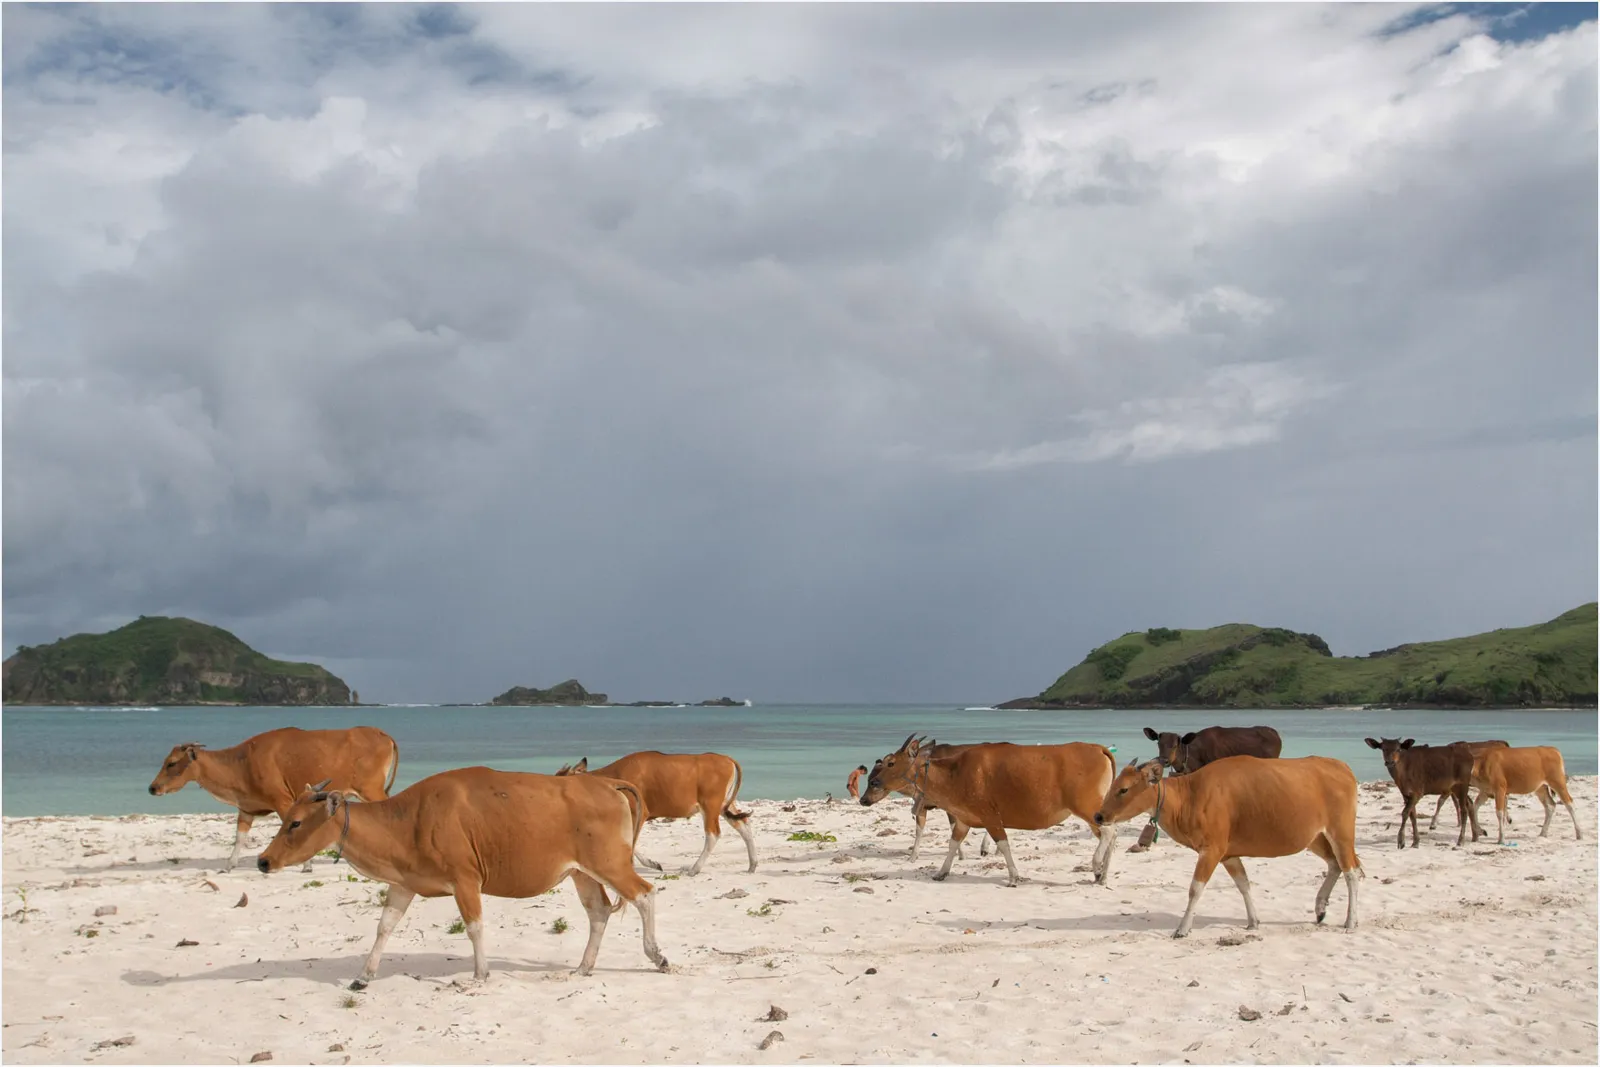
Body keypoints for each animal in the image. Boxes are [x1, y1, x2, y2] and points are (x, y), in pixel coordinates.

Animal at [148, 726, 399, 870]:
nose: (152, 788)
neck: (241, 763)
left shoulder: (283, 801)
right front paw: (229, 865)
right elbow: (239, 838)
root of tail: (383, 734)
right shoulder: (246, 809)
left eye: (171, 763)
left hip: (370, 789)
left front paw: (306, 866)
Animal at [256, 767, 669, 989]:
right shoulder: (403, 885)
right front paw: (363, 976)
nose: (263, 861)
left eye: (295, 823)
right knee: (598, 912)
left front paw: (479, 974)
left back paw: (658, 956)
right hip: (581, 873)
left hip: (610, 864)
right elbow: (384, 927)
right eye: (283, 818)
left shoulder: (466, 881)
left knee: (646, 893)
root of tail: (607, 782)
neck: (410, 821)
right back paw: (584, 966)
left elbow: (474, 927)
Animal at [556, 751, 756, 876]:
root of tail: (727, 759)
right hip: (724, 806)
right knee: (744, 824)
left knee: (713, 834)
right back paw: (752, 865)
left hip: (710, 806)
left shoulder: (639, 812)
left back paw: (694, 869)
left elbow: (632, 842)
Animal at [861, 735, 1117, 887]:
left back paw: (1096, 866)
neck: (954, 773)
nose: (873, 783)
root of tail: (1098, 748)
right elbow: (953, 843)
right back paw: (1103, 875)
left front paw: (1013, 876)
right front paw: (942, 872)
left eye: (891, 763)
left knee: (1108, 833)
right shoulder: (963, 819)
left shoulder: (991, 817)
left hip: (1087, 807)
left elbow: (1003, 844)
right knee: (1111, 835)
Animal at [1093, 755, 1363, 938]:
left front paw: (1183, 928)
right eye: (1113, 785)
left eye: (1124, 789)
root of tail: (1343, 767)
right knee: (1336, 865)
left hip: (1341, 833)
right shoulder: (1228, 855)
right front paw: (1253, 921)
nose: (1099, 815)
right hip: (1314, 838)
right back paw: (1320, 908)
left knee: (1351, 872)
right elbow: (1243, 884)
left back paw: (1351, 921)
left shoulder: (1211, 851)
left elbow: (1195, 889)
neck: (1190, 796)